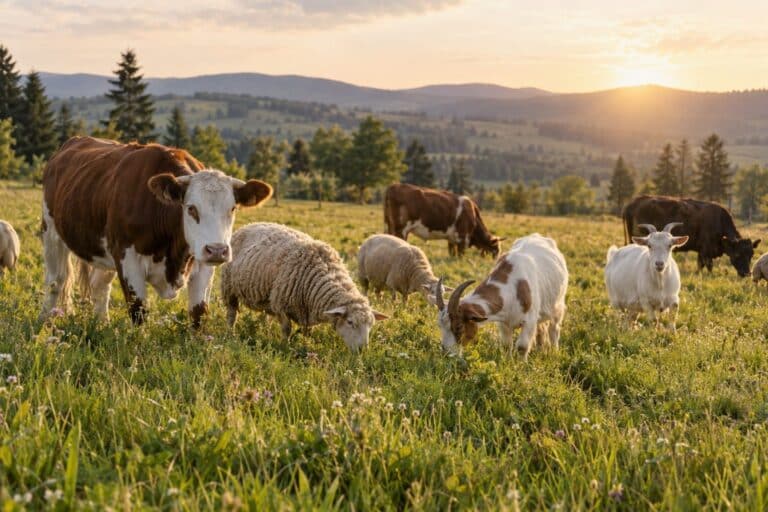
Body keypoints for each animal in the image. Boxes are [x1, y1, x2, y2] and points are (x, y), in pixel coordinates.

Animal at [39, 136, 272, 327]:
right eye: (191, 208)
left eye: (232, 208)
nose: (217, 250)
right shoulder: (127, 257)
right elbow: (138, 310)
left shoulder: (202, 265)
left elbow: (199, 313)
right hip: (51, 233)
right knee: (56, 281)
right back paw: (44, 322)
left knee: (99, 286)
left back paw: (101, 323)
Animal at [221, 222, 388, 351]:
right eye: (350, 322)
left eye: (371, 325)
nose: (362, 350)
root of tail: (248, 225)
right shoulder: (281, 304)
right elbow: (286, 329)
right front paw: (285, 346)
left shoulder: (306, 310)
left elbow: (308, 332)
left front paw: (305, 344)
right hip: (229, 288)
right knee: (231, 314)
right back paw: (230, 334)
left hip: (266, 296)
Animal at [434, 233, 568, 358]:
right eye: (439, 326)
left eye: (459, 327)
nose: (447, 353)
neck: (512, 288)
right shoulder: (504, 322)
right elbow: (506, 345)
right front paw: (508, 361)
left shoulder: (529, 320)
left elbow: (522, 346)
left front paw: (522, 365)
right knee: (541, 329)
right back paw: (540, 349)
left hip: (558, 306)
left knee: (554, 329)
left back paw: (554, 351)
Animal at [622, 195, 760, 277]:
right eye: (737, 254)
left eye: (751, 255)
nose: (747, 273)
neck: (719, 221)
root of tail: (634, 202)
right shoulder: (706, 251)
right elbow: (709, 266)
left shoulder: (701, 251)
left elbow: (700, 265)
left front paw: (698, 274)